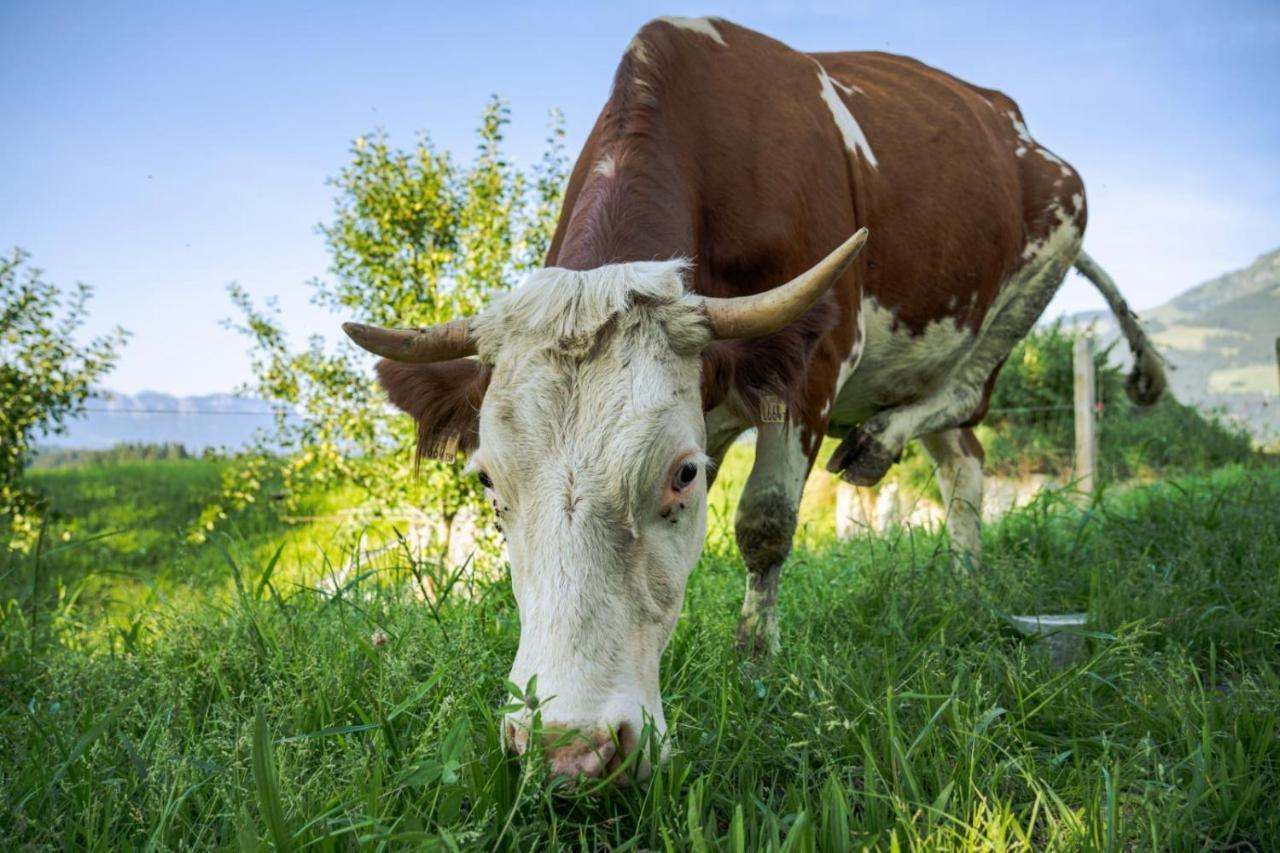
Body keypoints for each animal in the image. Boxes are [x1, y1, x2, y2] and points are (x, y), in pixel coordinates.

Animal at [337, 18, 1162, 778]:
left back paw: (881, 444)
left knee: (961, 392)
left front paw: (754, 666)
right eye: (488, 483)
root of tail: (1014, 125)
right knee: (963, 464)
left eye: (681, 474)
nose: (568, 750)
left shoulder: (815, 362)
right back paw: (964, 584)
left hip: (1047, 250)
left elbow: (765, 524)